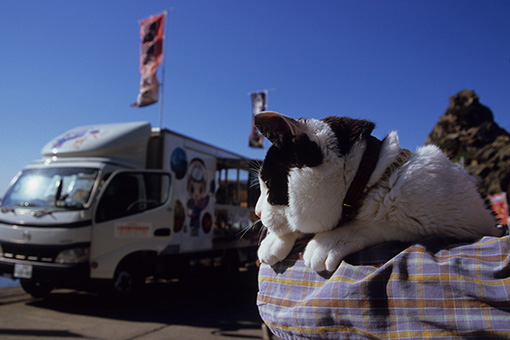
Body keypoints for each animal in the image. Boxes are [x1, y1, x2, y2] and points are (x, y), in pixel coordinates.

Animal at [253, 113, 500, 272]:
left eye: (269, 184)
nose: (256, 213)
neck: (374, 178)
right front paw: (275, 241)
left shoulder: (466, 224)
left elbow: (377, 224)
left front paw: (329, 242)